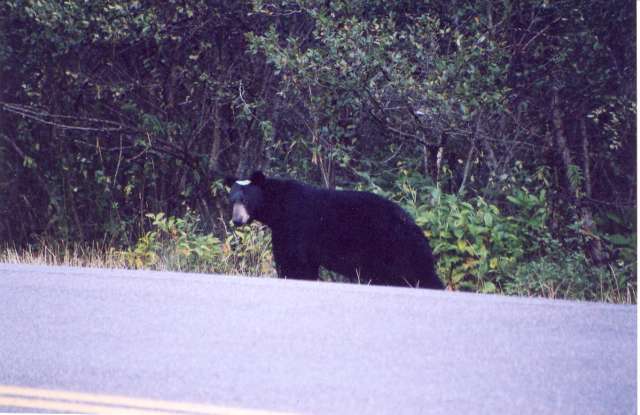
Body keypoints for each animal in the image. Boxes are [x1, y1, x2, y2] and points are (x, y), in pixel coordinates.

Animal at [225, 171, 443, 289]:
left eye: (245, 200)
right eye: (232, 200)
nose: (237, 220)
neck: (278, 208)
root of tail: (416, 228)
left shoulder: (295, 226)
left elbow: (295, 262)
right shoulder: (283, 231)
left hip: (393, 248)